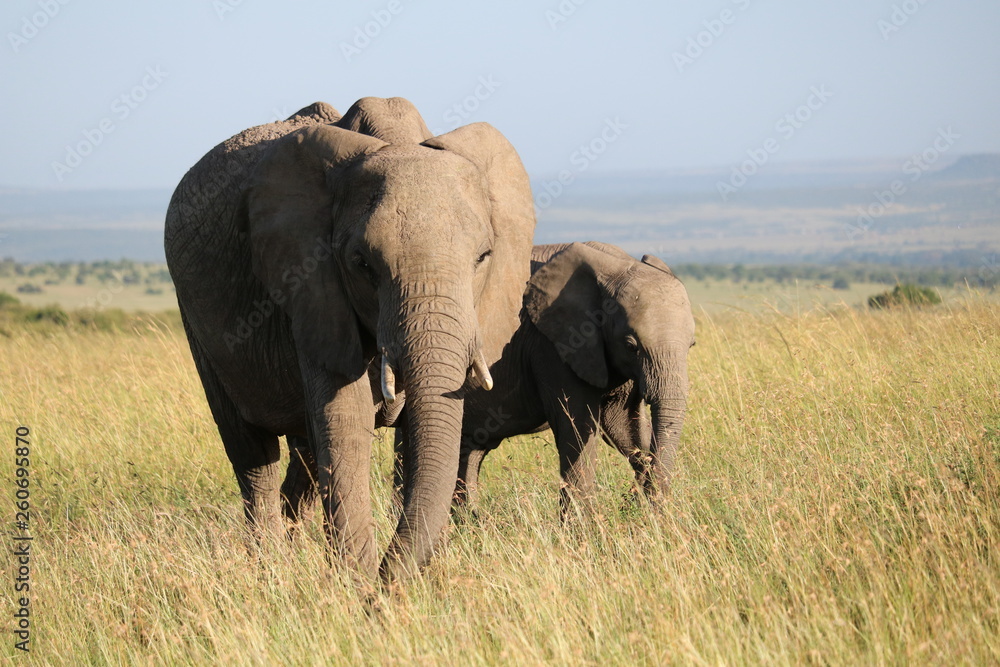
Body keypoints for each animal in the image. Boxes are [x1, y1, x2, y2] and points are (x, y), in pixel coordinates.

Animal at [164, 97, 535, 584]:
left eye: (483, 257)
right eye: (362, 264)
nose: (385, 585)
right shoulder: (310, 284)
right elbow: (346, 419)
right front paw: (355, 587)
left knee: (304, 454)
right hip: (195, 318)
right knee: (253, 455)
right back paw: (270, 569)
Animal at [394, 241, 695, 515]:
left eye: (692, 345)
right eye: (632, 345)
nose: (643, 508)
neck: (615, 266)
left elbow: (623, 425)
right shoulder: (552, 346)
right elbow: (576, 428)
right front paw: (583, 531)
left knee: (468, 450)